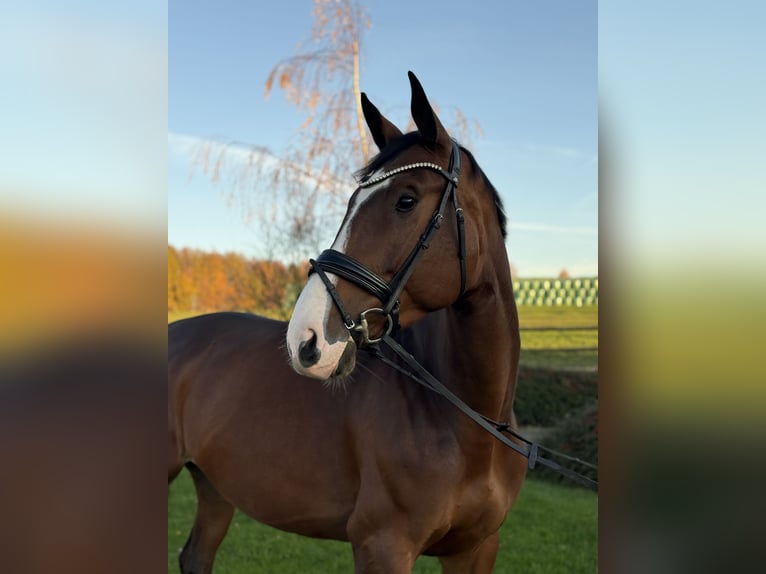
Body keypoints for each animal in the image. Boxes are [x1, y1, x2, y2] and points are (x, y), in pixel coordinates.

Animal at [168, 71, 527, 573]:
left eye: (406, 200)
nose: (305, 340)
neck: (468, 423)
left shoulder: (476, 550)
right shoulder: (382, 546)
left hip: (215, 485)